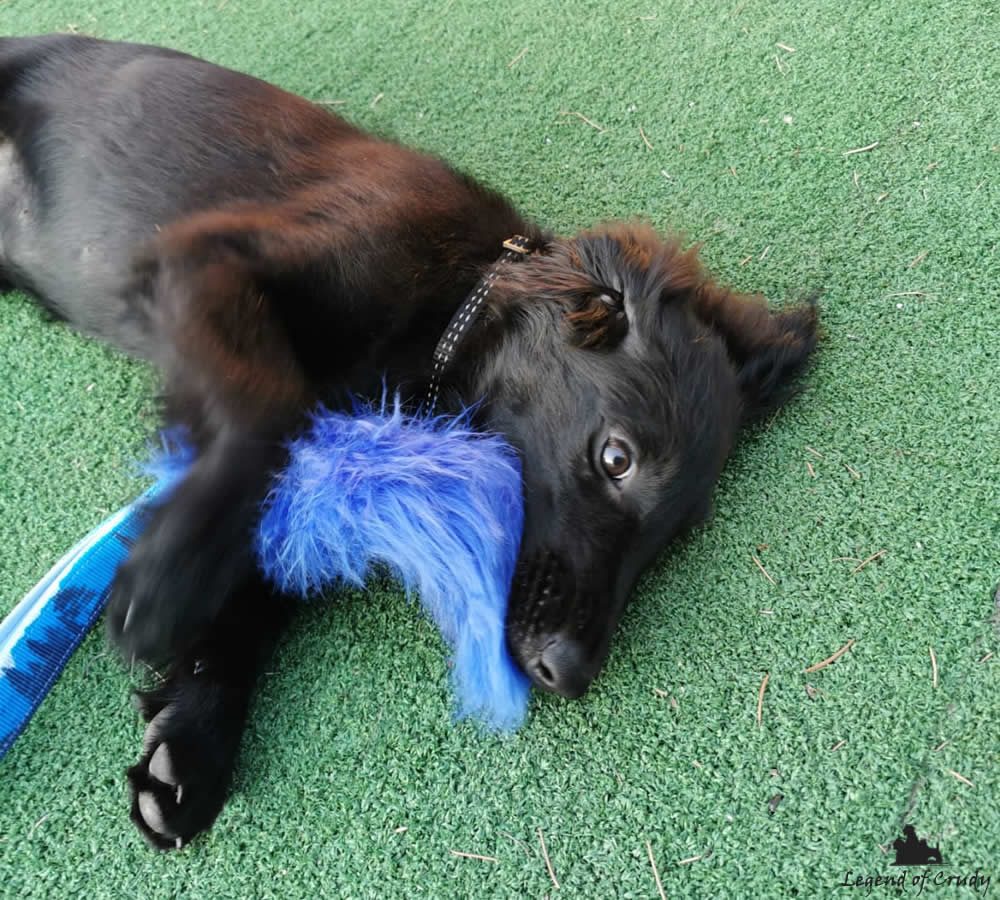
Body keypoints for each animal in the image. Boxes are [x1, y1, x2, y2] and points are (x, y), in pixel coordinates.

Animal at [0, 37, 816, 852]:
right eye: (617, 459)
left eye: (677, 533)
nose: (571, 672)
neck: (451, 306)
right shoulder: (205, 260)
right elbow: (271, 406)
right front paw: (167, 579)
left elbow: (259, 581)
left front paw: (193, 737)